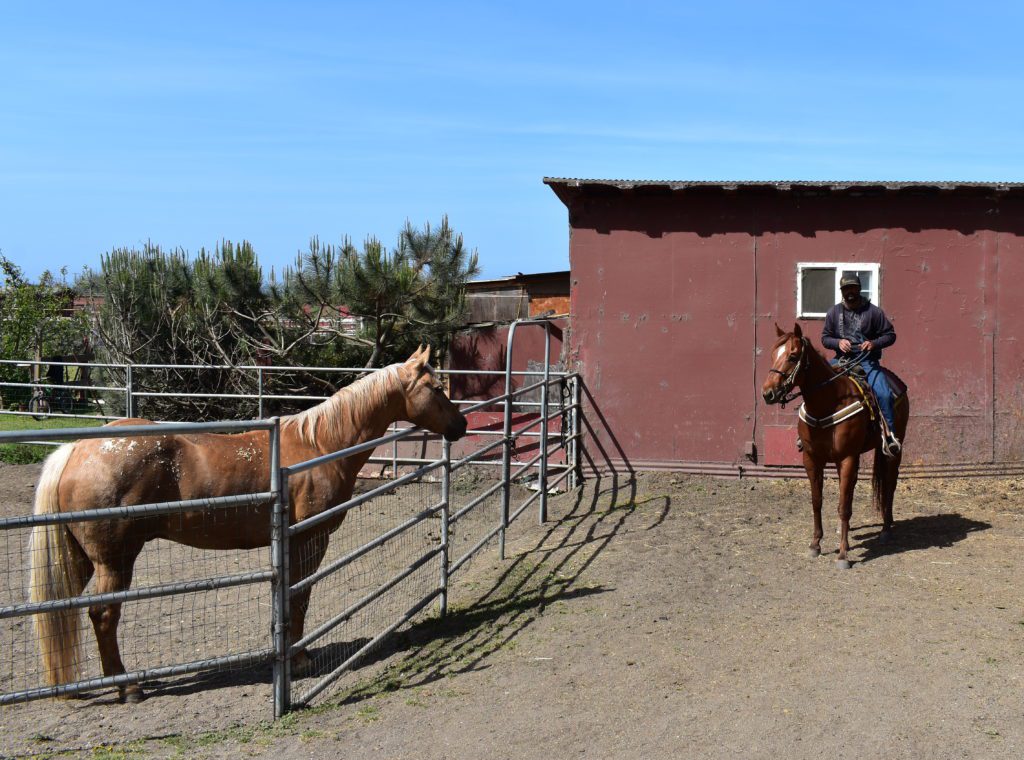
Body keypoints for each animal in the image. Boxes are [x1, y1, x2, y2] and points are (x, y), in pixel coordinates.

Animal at [29, 346, 467, 702]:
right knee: (103, 616)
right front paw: (300, 659)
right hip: (114, 561)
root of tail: (77, 449)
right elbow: (299, 597)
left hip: (82, 560)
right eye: (437, 388)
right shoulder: (309, 539)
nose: (461, 426)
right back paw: (127, 686)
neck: (320, 444)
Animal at [761, 324, 909, 569]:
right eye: (773, 355)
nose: (768, 393)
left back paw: (886, 529)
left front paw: (842, 555)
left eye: (793, 356)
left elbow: (843, 506)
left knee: (889, 484)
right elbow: (817, 501)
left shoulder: (847, 457)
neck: (827, 404)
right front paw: (815, 545)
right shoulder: (812, 459)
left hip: (893, 451)